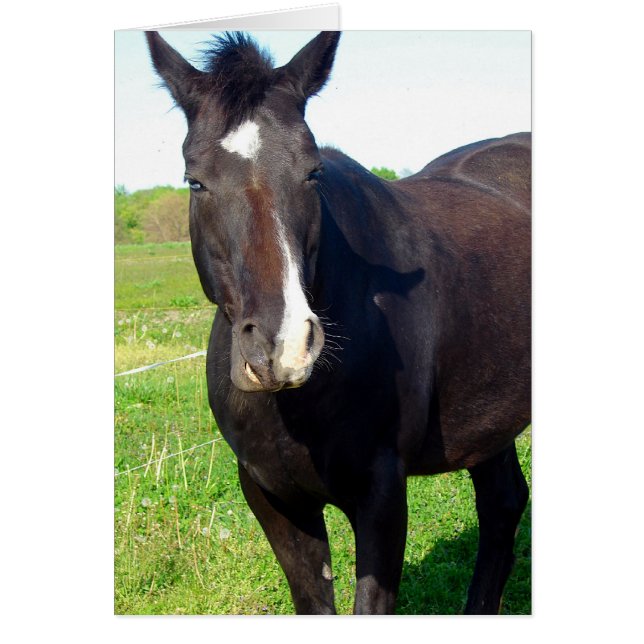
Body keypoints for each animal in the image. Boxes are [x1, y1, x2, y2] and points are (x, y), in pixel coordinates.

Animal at [145, 30, 531, 615]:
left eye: (313, 171)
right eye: (195, 181)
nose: (282, 348)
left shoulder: (381, 498)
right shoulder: (273, 496)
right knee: (503, 503)